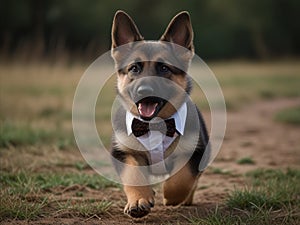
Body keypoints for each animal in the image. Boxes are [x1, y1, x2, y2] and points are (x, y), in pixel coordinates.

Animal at [109, 10, 209, 218]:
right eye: (134, 68)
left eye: (164, 68)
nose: (144, 91)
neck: (154, 124)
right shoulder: (123, 152)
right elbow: (134, 175)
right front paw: (139, 200)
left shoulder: (195, 151)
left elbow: (182, 179)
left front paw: (170, 197)